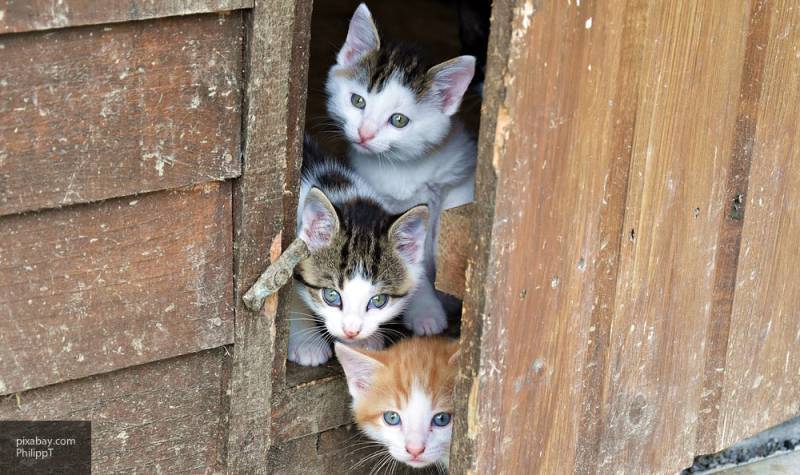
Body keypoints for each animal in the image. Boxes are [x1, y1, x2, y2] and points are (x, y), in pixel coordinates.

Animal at [324, 4, 476, 338]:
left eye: (399, 120)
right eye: (357, 101)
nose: (365, 134)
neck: (403, 167)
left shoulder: (460, 173)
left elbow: (451, 222)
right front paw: (427, 312)